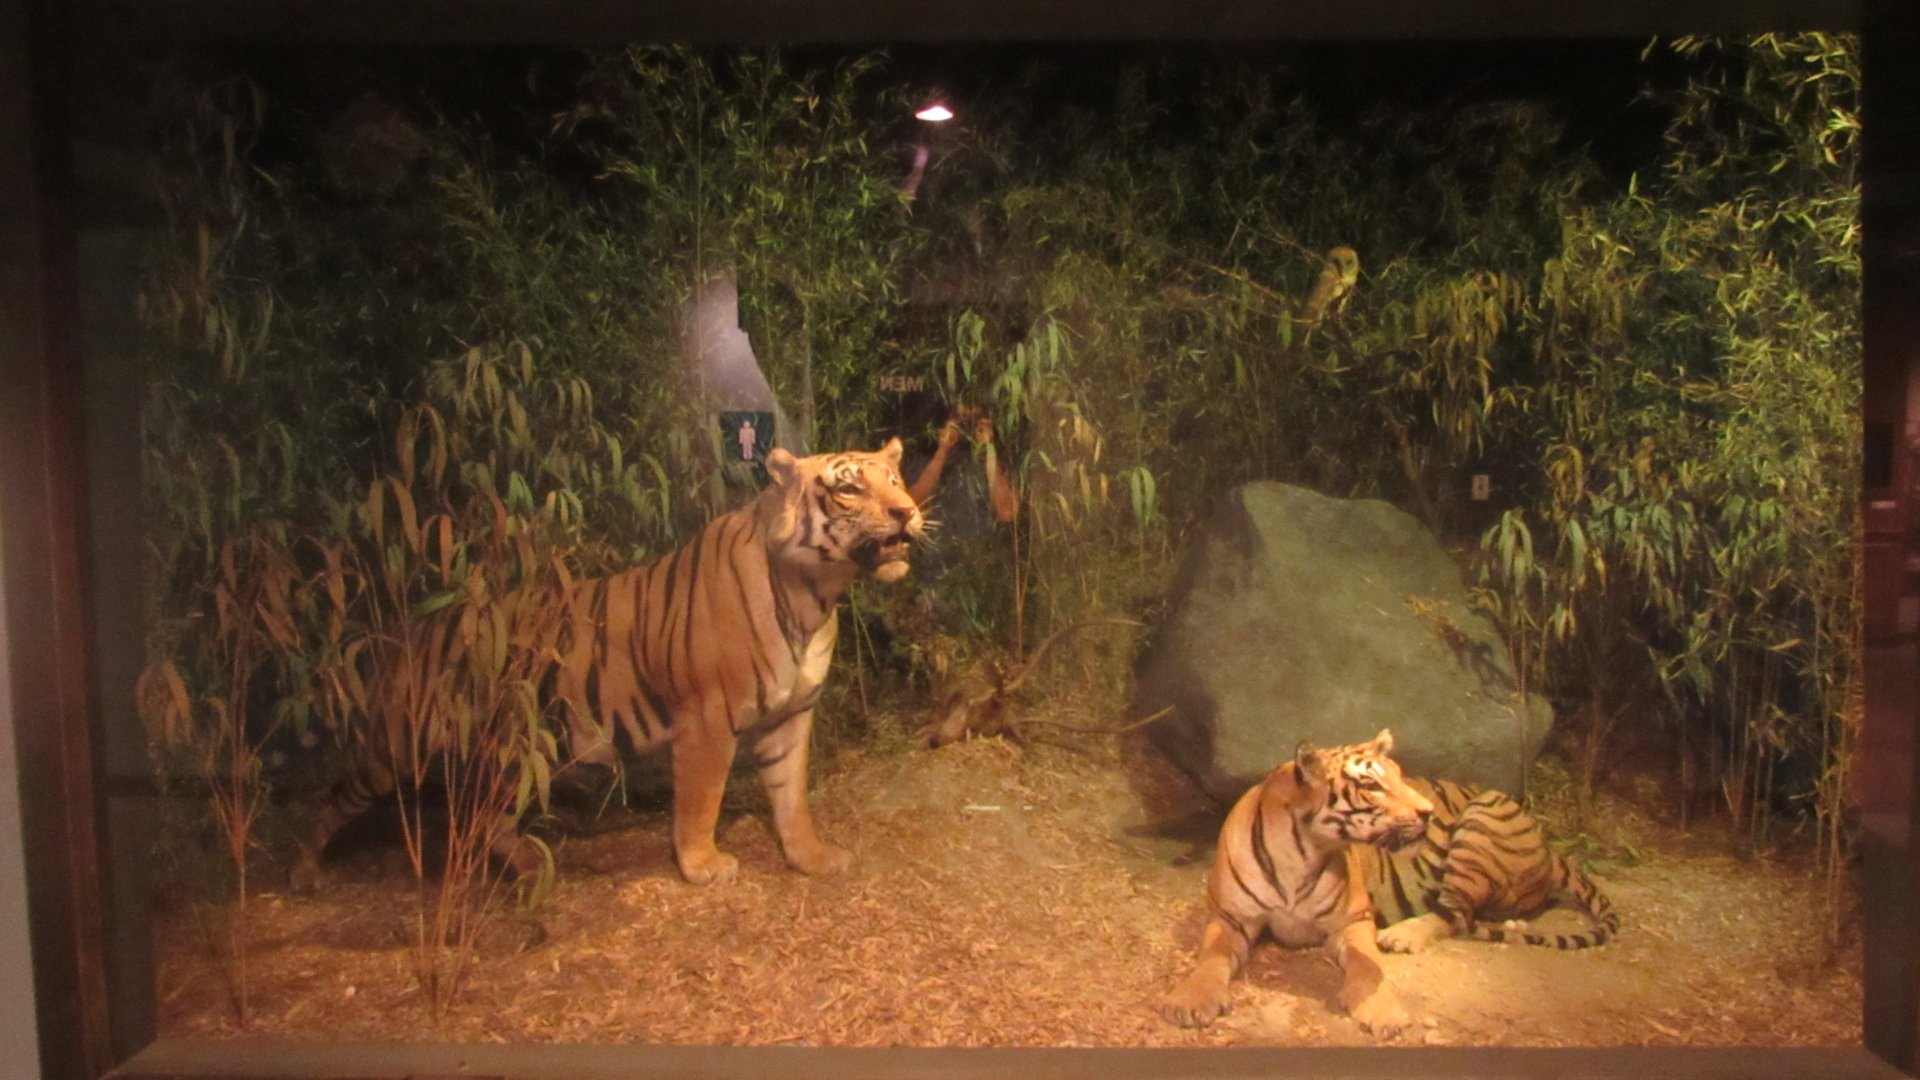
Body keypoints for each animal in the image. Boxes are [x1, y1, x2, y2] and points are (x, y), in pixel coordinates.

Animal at [289, 439, 924, 891]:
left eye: (895, 480)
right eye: (849, 488)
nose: (908, 512)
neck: (814, 596)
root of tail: (404, 633)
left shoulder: (791, 714)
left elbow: (791, 796)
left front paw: (811, 857)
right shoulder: (707, 718)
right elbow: (701, 799)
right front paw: (702, 866)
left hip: (509, 755)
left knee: (484, 818)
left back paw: (526, 868)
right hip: (397, 745)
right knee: (332, 797)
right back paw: (305, 870)